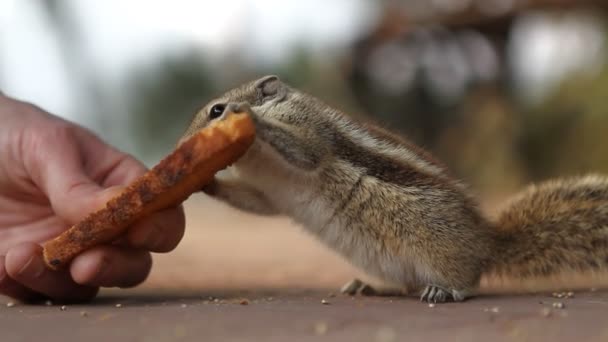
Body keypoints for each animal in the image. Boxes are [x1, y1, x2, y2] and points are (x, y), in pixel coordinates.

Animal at [178, 75, 608, 302]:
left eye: (216, 110)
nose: (182, 145)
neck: (259, 160)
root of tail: (488, 244)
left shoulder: (310, 125)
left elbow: (310, 152)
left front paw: (248, 115)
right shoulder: (271, 194)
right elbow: (258, 203)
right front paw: (205, 182)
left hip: (437, 247)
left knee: (468, 282)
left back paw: (444, 291)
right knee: (406, 285)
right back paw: (366, 286)